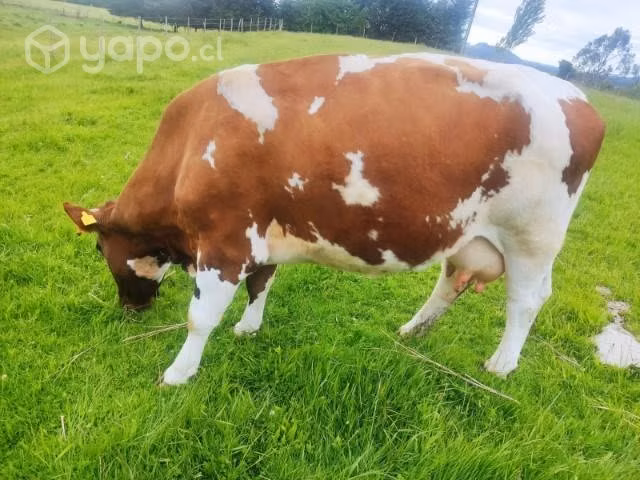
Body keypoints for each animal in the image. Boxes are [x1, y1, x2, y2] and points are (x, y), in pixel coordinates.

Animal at [63, 53, 605, 385]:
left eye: (98, 247)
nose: (130, 310)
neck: (192, 141)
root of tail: (580, 100)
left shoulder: (225, 241)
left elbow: (200, 318)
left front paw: (177, 374)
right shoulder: (262, 235)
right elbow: (262, 283)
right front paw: (249, 328)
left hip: (532, 237)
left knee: (526, 300)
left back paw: (500, 365)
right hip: (468, 231)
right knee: (451, 282)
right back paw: (413, 331)